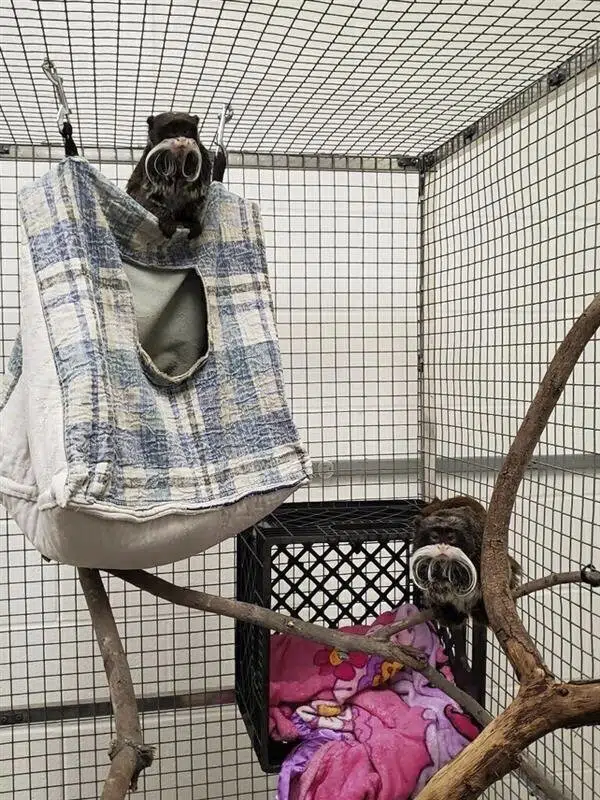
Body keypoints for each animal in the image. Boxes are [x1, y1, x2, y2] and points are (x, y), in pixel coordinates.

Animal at [126, 112, 212, 240]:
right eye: (172, 132)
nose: (181, 139)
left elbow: (196, 199)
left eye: (185, 131)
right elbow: (143, 196)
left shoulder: (204, 161)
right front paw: (167, 220)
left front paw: (190, 222)